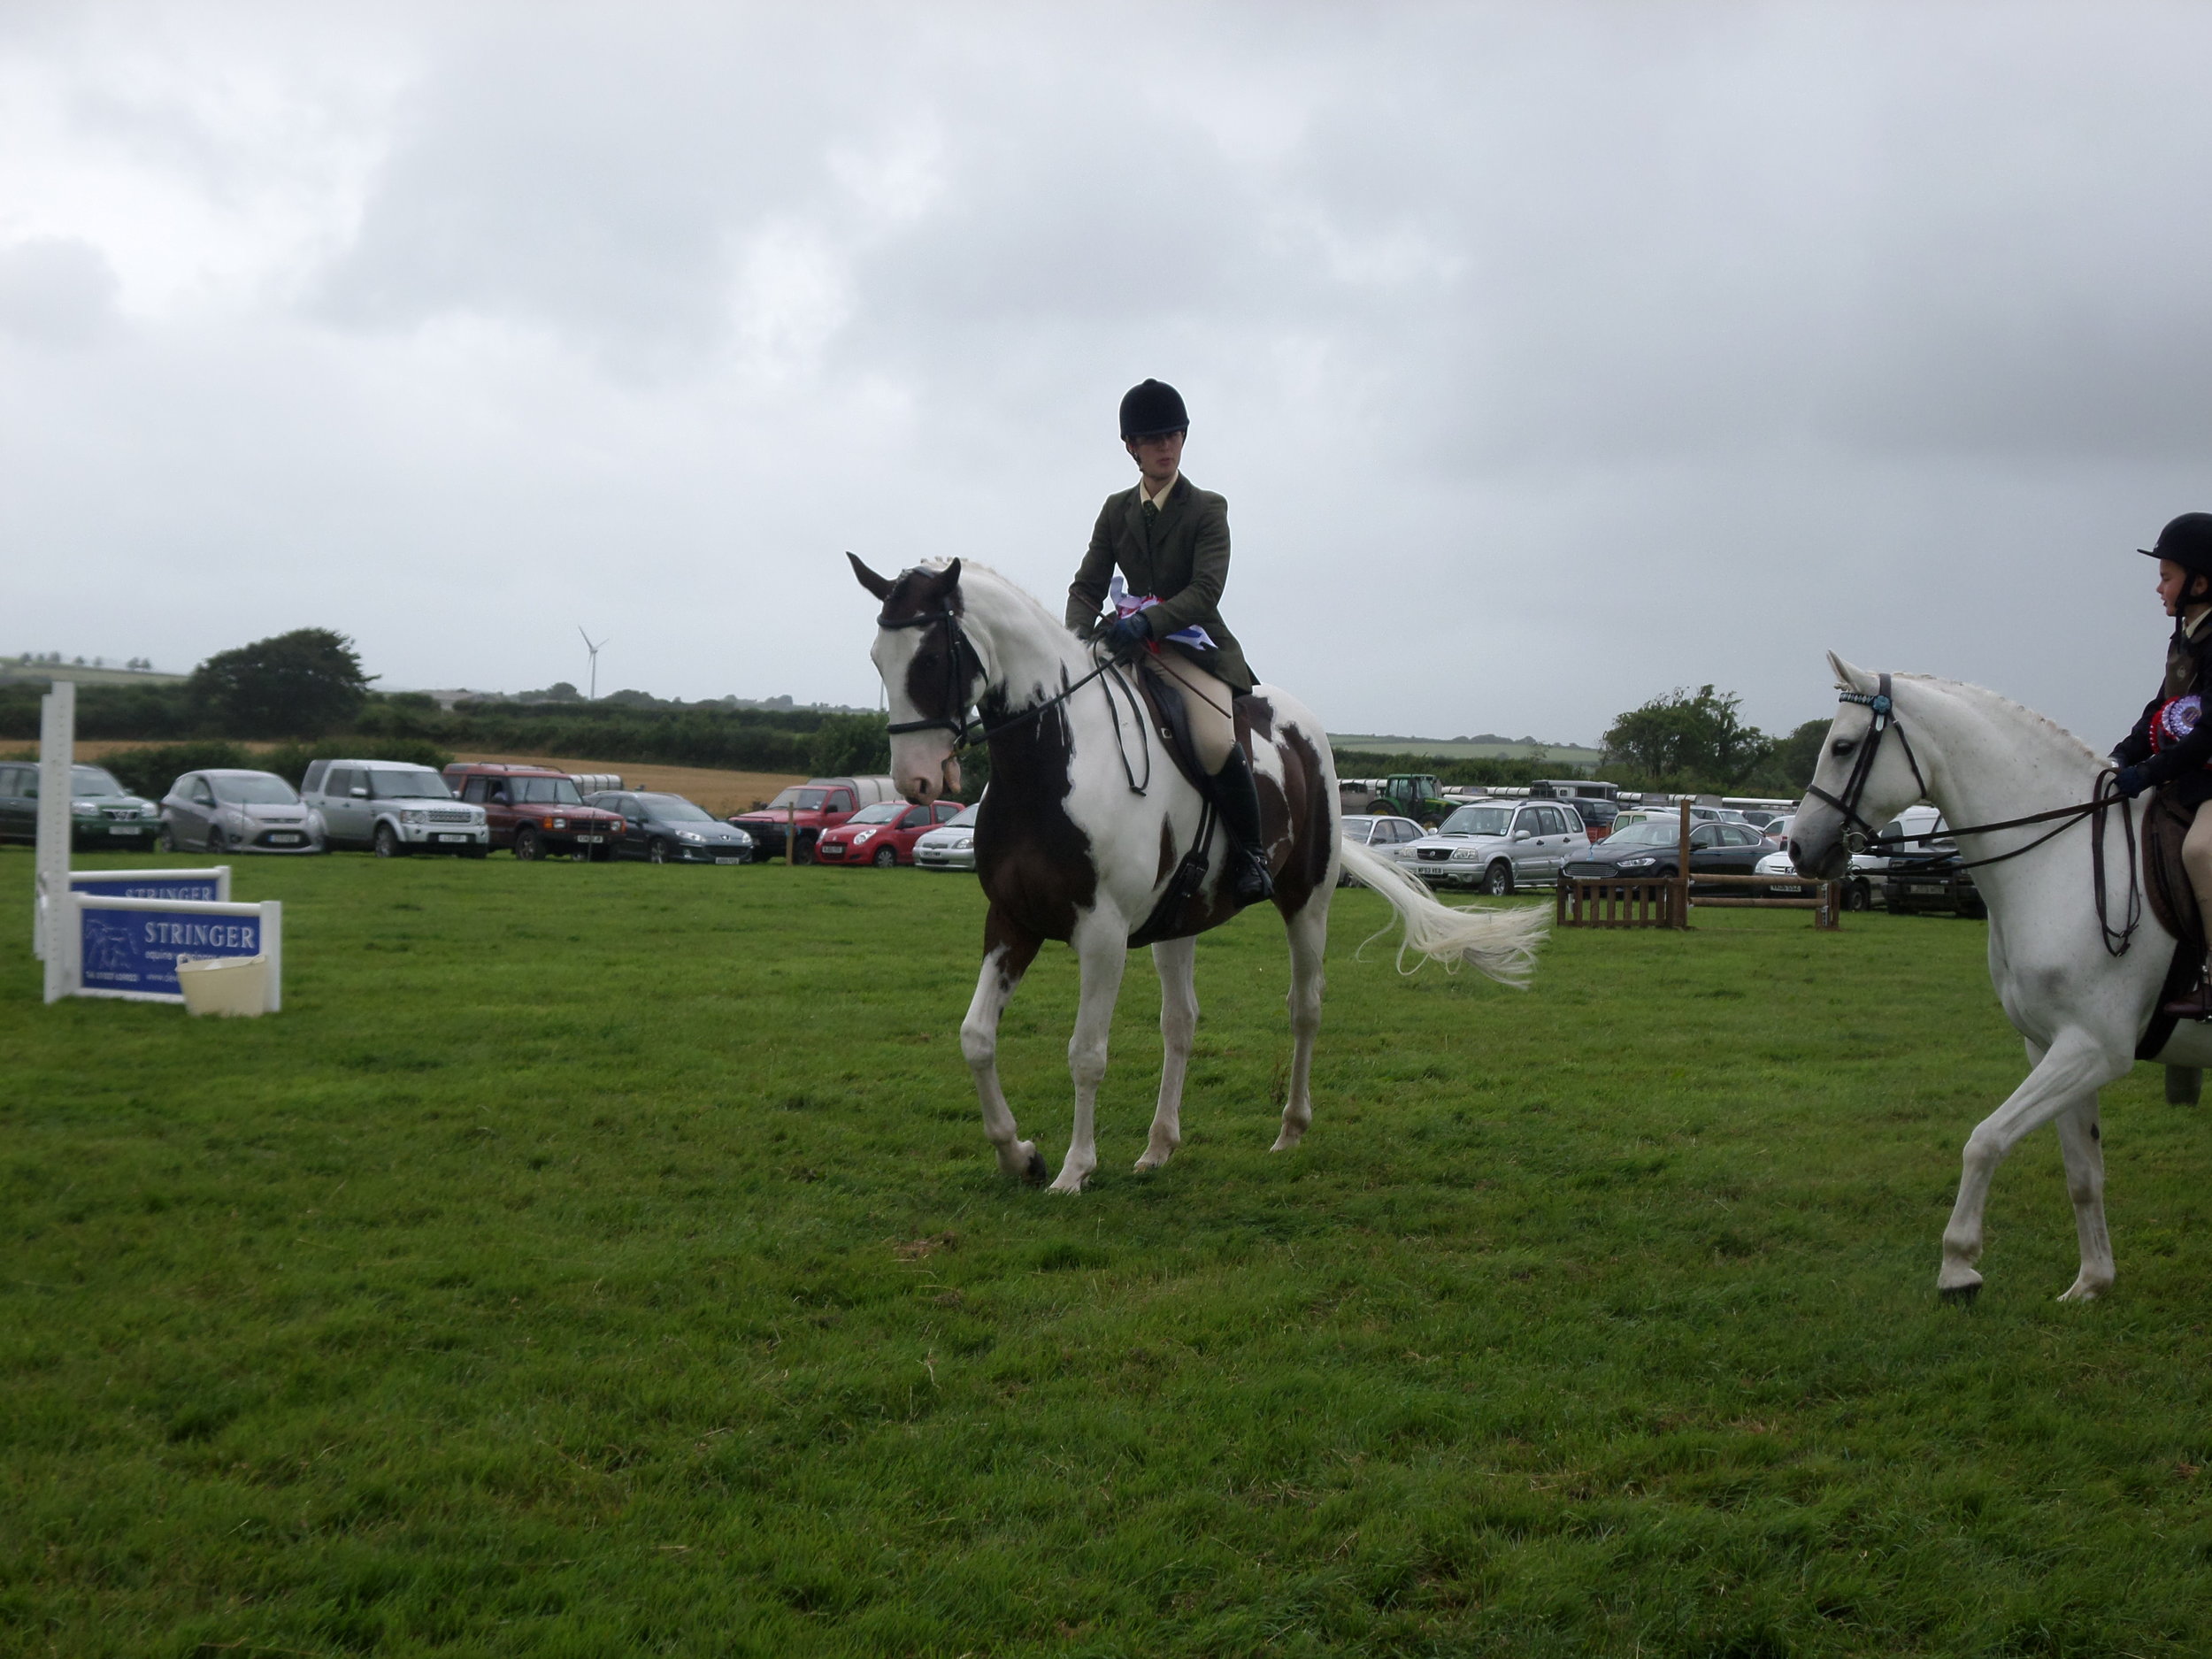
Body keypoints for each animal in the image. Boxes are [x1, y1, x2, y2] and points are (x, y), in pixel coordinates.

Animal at [854, 559, 1548, 1194]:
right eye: (878, 659)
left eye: (933, 657)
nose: (917, 782)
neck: (1052, 766)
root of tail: (1304, 727)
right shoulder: (1011, 921)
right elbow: (976, 1038)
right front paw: (1019, 1155)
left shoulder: (1101, 935)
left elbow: (1086, 1053)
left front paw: (1075, 1169)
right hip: (1177, 920)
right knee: (1181, 1022)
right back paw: (1160, 1145)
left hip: (1306, 904)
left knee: (1305, 1008)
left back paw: (1290, 1129)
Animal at [1787, 655, 2203, 1310]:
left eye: (1843, 747)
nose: (1799, 847)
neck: (2060, 863)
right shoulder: (2052, 1045)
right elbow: (2083, 1174)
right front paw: (2092, 1282)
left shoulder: (2093, 1048)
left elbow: (1985, 1138)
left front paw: (1958, 1266)